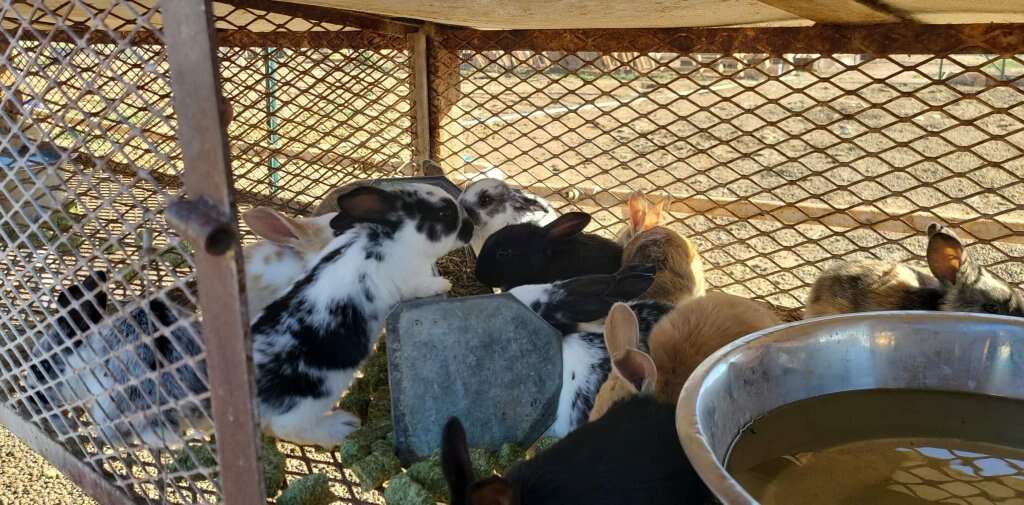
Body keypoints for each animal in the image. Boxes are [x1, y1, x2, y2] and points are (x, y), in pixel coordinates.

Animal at [252, 184, 473, 447]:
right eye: (443, 214)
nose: (471, 229)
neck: (389, 240)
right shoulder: (410, 282)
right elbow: (423, 286)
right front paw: (443, 284)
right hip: (311, 401)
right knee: (286, 428)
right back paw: (343, 426)